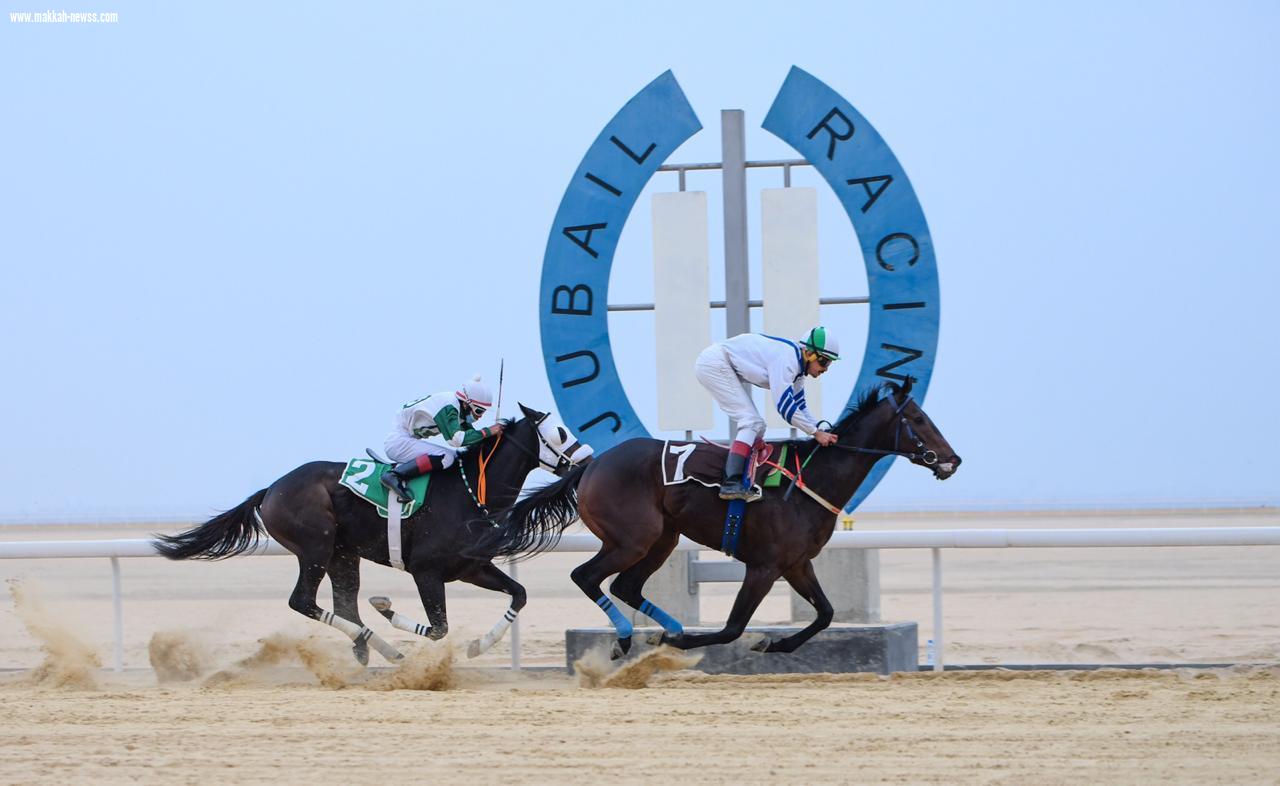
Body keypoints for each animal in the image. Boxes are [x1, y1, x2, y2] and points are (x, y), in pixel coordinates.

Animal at [153, 407, 588, 665]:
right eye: (561, 431)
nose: (586, 459)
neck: (470, 493)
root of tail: (271, 489)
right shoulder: (426, 571)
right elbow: (438, 628)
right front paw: (388, 609)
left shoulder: (471, 567)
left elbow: (519, 595)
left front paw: (479, 645)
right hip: (315, 546)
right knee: (303, 601)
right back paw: (381, 644)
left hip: (343, 554)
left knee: (344, 605)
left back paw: (373, 649)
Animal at [481, 381, 962, 660]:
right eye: (918, 418)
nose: (952, 460)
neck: (809, 480)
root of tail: (592, 465)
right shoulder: (764, 566)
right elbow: (732, 628)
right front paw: (685, 642)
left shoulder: (796, 563)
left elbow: (825, 613)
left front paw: (777, 643)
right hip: (633, 538)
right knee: (587, 576)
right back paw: (630, 637)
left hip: (663, 538)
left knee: (625, 586)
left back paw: (666, 627)